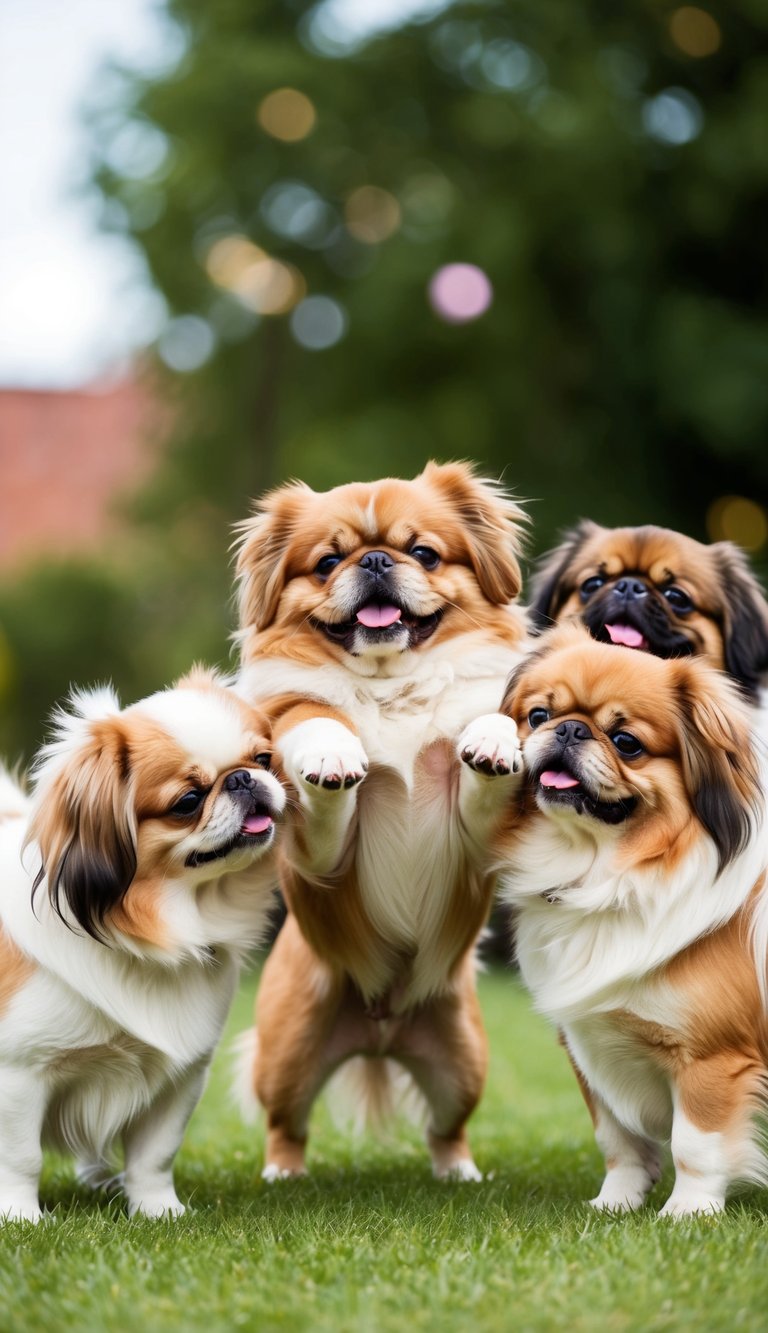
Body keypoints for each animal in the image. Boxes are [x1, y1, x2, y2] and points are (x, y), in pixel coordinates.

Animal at [0, 668, 284, 1222]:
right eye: (187, 802)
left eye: (263, 759)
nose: (242, 779)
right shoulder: (19, 1072)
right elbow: (20, 1159)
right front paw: (20, 1218)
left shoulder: (181, 1078)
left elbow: (155, 1155)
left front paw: (159, 1210)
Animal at [234, 460, 528, 1180]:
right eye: (327, 562)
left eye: (423, 552)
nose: (372, 559)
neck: (392, 685)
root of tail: (380, 1031)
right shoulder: (319, 853)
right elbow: (315, 721)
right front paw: (334, 754)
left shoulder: (479, 839)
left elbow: (484, 731)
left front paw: (493, 742)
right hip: (288, 1054)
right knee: (286, 1125)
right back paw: (283, 1175)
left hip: (463, 1062)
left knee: (447, 1130)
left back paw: (461, 1175)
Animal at [468, 625, 768, 1216]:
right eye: (538, 715)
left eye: (626, 741)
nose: (570, 729)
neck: (605, 874)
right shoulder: (591, 1045)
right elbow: (619, 1139)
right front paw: (617, 1204)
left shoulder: (711, 1059)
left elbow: (695, 1145)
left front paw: (688, 1213)